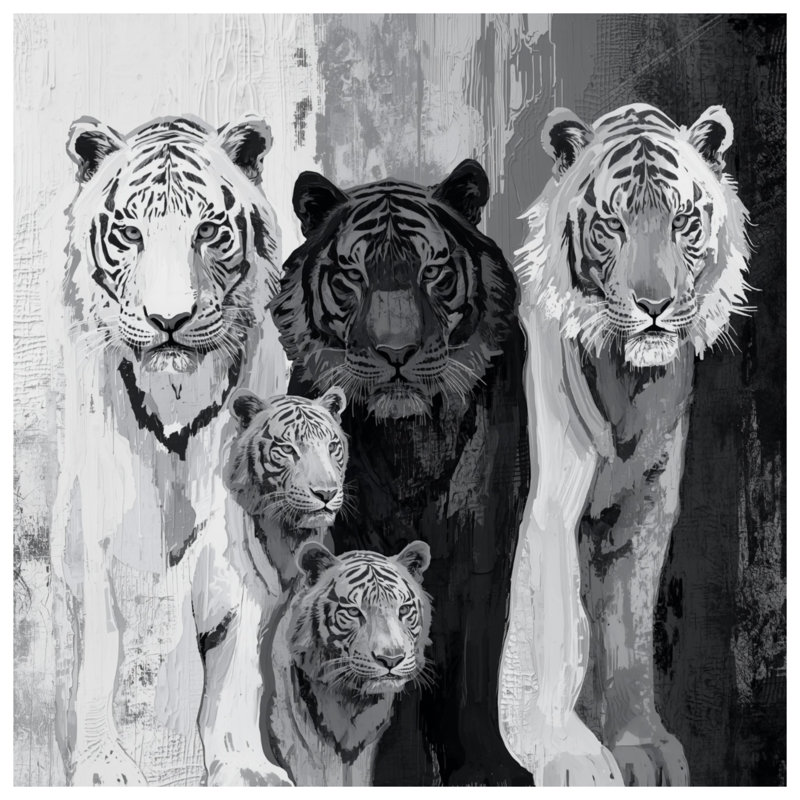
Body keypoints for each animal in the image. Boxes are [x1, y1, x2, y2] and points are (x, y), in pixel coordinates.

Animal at [48, 113, 291, 786]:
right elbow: (102, 655)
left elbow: (239, 673)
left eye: (208, 231)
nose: (170, 320)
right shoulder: (95, 549)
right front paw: (103, 767)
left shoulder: (245, 562)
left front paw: (247, 766)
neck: (177, 408)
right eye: (130, 233)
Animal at [498, 103, 752, 786]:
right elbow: (557, 623)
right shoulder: (555, 500)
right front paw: (566, 753)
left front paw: (640, 745)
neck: (629, 380)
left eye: (684, 221)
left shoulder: (643, 509)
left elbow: (628, 632)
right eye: (612, 225)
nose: (655, 305)